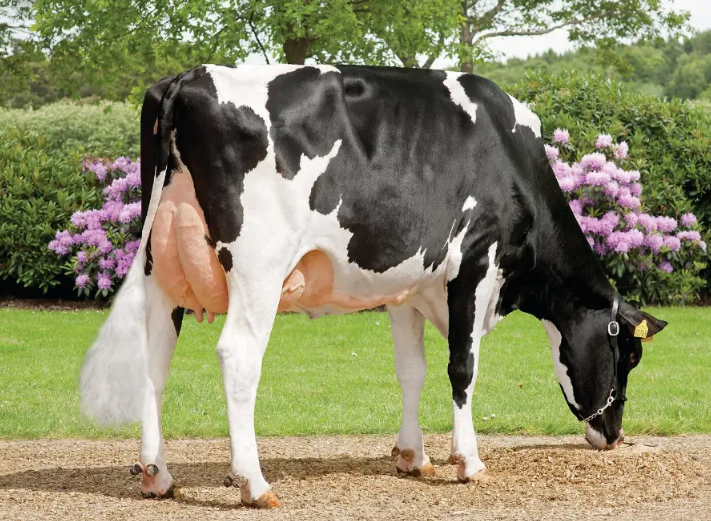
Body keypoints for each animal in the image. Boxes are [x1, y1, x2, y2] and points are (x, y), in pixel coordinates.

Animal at [79, 64, 667, 508]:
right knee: (238, 356)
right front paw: (468, 460)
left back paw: (157, 474)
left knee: (153, 361)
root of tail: (188, 77)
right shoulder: (476, 260)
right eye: (629, 355)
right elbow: (462, 367)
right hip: (258, 266)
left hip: (159, 267)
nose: (613, 434)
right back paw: (254, 483)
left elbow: (412, 370)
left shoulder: (407, 283)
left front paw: (413, 456)